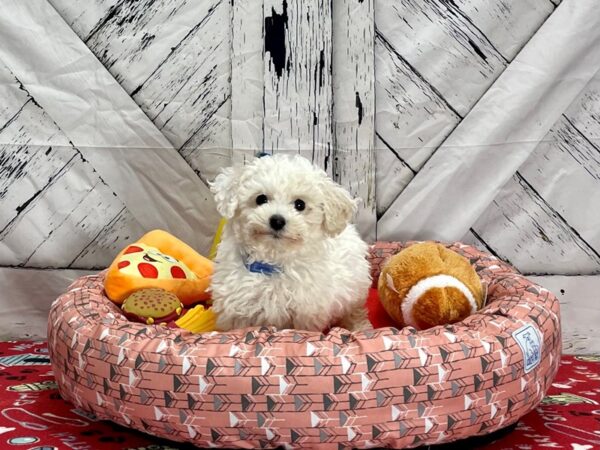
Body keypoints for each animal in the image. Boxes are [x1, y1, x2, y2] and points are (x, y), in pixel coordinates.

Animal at [209, 153, 372, 332]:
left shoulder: (306, 313)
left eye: (300, 204)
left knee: (355, 311)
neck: (272, 262)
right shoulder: (237, 311)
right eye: (261, 199)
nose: (277, 221)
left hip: (355, 288)